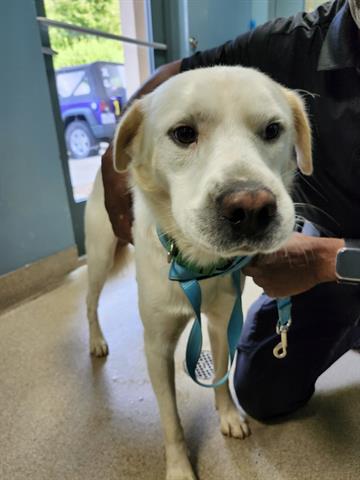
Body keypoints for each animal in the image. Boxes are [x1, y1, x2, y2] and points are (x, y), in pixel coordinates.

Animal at [84, 66, 312, 480]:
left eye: (273, 129)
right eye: (184, 133)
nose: (251, 208)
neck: (198, 263)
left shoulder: (223, 323)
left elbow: (221, 378)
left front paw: (228, 416)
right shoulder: (157, 346)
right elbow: (171, 421)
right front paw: (178, 467)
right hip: (99, 256)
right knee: (90, 303)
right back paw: (95, 341)